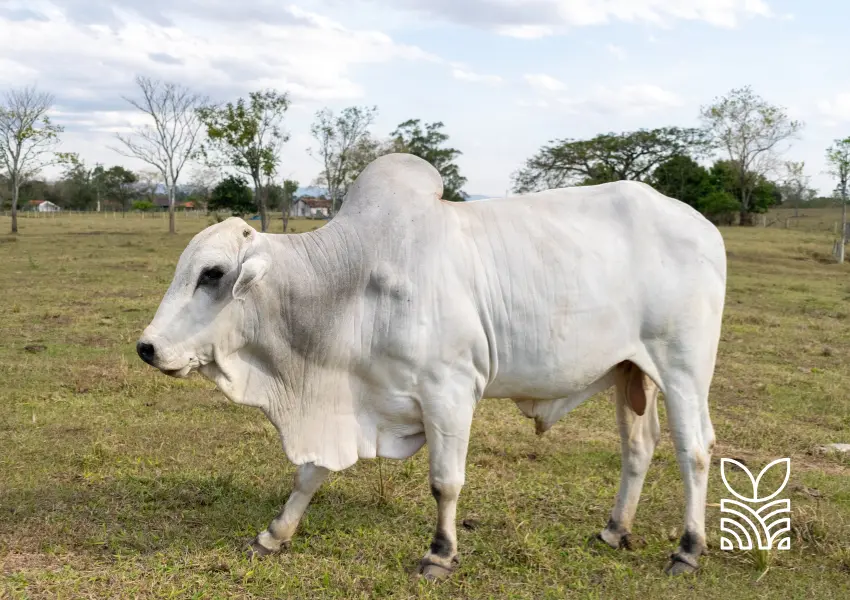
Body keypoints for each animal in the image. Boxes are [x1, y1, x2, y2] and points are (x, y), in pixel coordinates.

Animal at [137, 152, 724, 580]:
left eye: (212, 274)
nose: (147, 347)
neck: (349, 286)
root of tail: (703, 227)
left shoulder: (450, 392)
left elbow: (445, 482)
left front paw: (440, 554)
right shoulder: (353, 399)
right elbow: (310, 473)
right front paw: (275, 534)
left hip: (683, 370)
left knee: (694, 450)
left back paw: (687, 549)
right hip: (632, 372)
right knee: (638, 447)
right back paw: (614, 530)